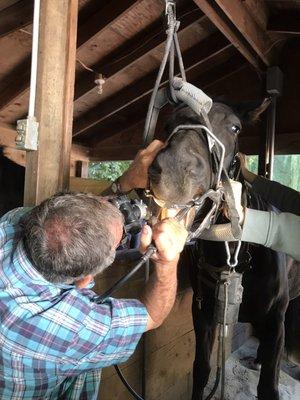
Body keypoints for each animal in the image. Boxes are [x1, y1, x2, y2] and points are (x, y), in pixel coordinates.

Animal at [148, 101, 300, 398]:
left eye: (235, 127)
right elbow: (201, 370)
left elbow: (268, 387)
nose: (173, 171)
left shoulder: (275, 321)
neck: (237, 257)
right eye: (168, 124)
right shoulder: (204, 314)